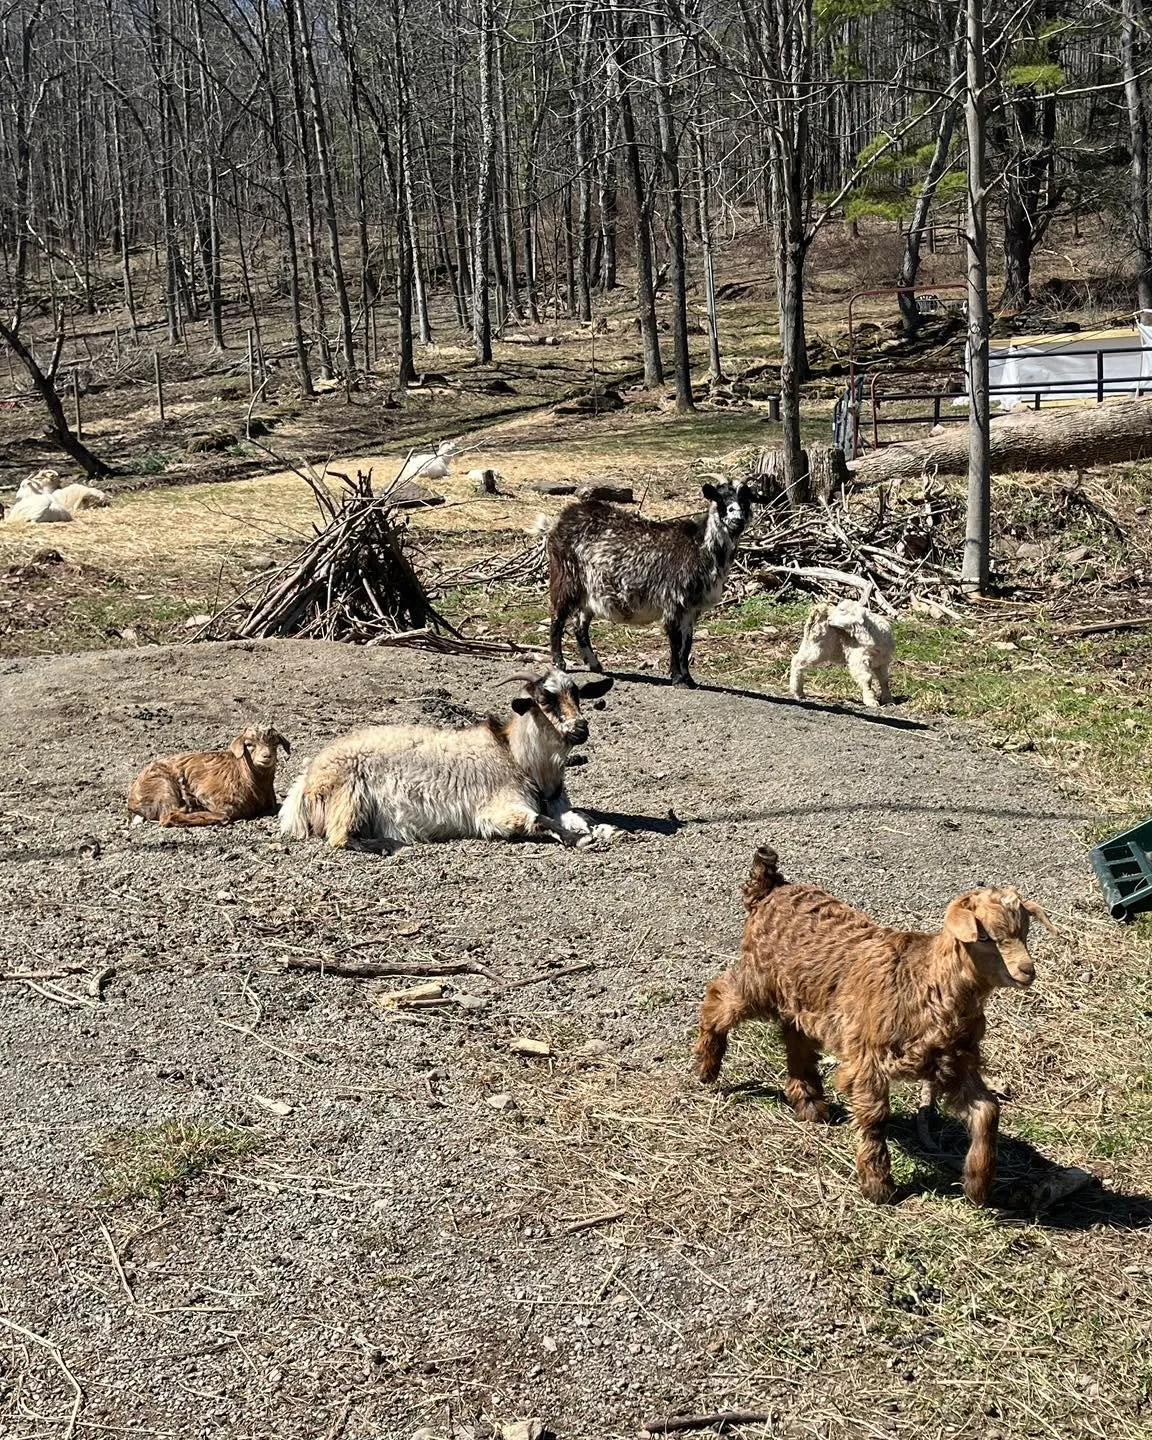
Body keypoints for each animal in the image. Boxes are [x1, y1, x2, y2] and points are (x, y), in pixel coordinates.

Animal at [128, 725, 291, 828]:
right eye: (249, 744)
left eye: (275, 743)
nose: (267, 756)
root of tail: (132, 799)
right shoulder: (210, 795)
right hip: (163, 786)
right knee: (169, 816)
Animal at [279, 670, 614, 851]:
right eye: (545, 699)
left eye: (577, 694)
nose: (580, 728)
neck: (516, 756)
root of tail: (306, 781)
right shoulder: (495, 810)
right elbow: (540, 820)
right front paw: (579, 839)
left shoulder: (557, 803)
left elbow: (581, 817)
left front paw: (602, 829)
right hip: (349, 796)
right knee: (339, 837)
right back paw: (390, 844)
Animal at [541, 480, 754, 687]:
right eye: (720, 500)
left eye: (745, 502)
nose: (738, 521)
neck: (700, 547)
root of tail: (562, 519)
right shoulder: (673, 599)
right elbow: (675, 640)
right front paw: (678, 679)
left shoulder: (691, 608)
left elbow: (687, 643)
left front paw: (688, 678)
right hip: (566, 577)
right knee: (557, 616)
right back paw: (559, 662)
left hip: (590, 590)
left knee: (580, 624)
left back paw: (595, 664)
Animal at [695, 846, 1055, 1205]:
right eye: (985, 937)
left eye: (1025, 933)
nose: (1027, 971)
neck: (926, 980)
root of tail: (770, 890)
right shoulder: (870, 1058)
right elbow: (875, 1118)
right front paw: (878, 1186)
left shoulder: (954, 1063)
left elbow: (987, 1110)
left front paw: (978, 1184)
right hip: (759, 979)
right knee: (718, 998)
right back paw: (707, 1067)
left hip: (802, 996)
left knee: (795, 1038)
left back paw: (809, 1104)